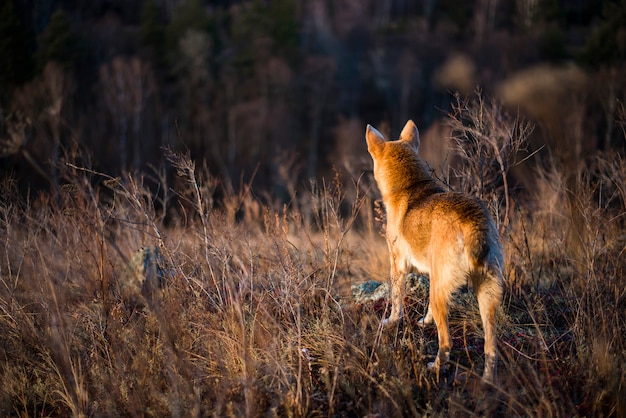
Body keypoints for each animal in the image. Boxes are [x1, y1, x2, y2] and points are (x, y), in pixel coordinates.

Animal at [366, 118, 502, 382]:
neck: (409, 187)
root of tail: (472, 222)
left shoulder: (398, 266)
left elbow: (396, 303)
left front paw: (391, 321)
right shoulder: (432, 272)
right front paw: (424, 322)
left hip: (444, 295)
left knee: (446, 342)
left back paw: (435, 368)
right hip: (485, 294)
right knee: (491, 347)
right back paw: (487, 382)